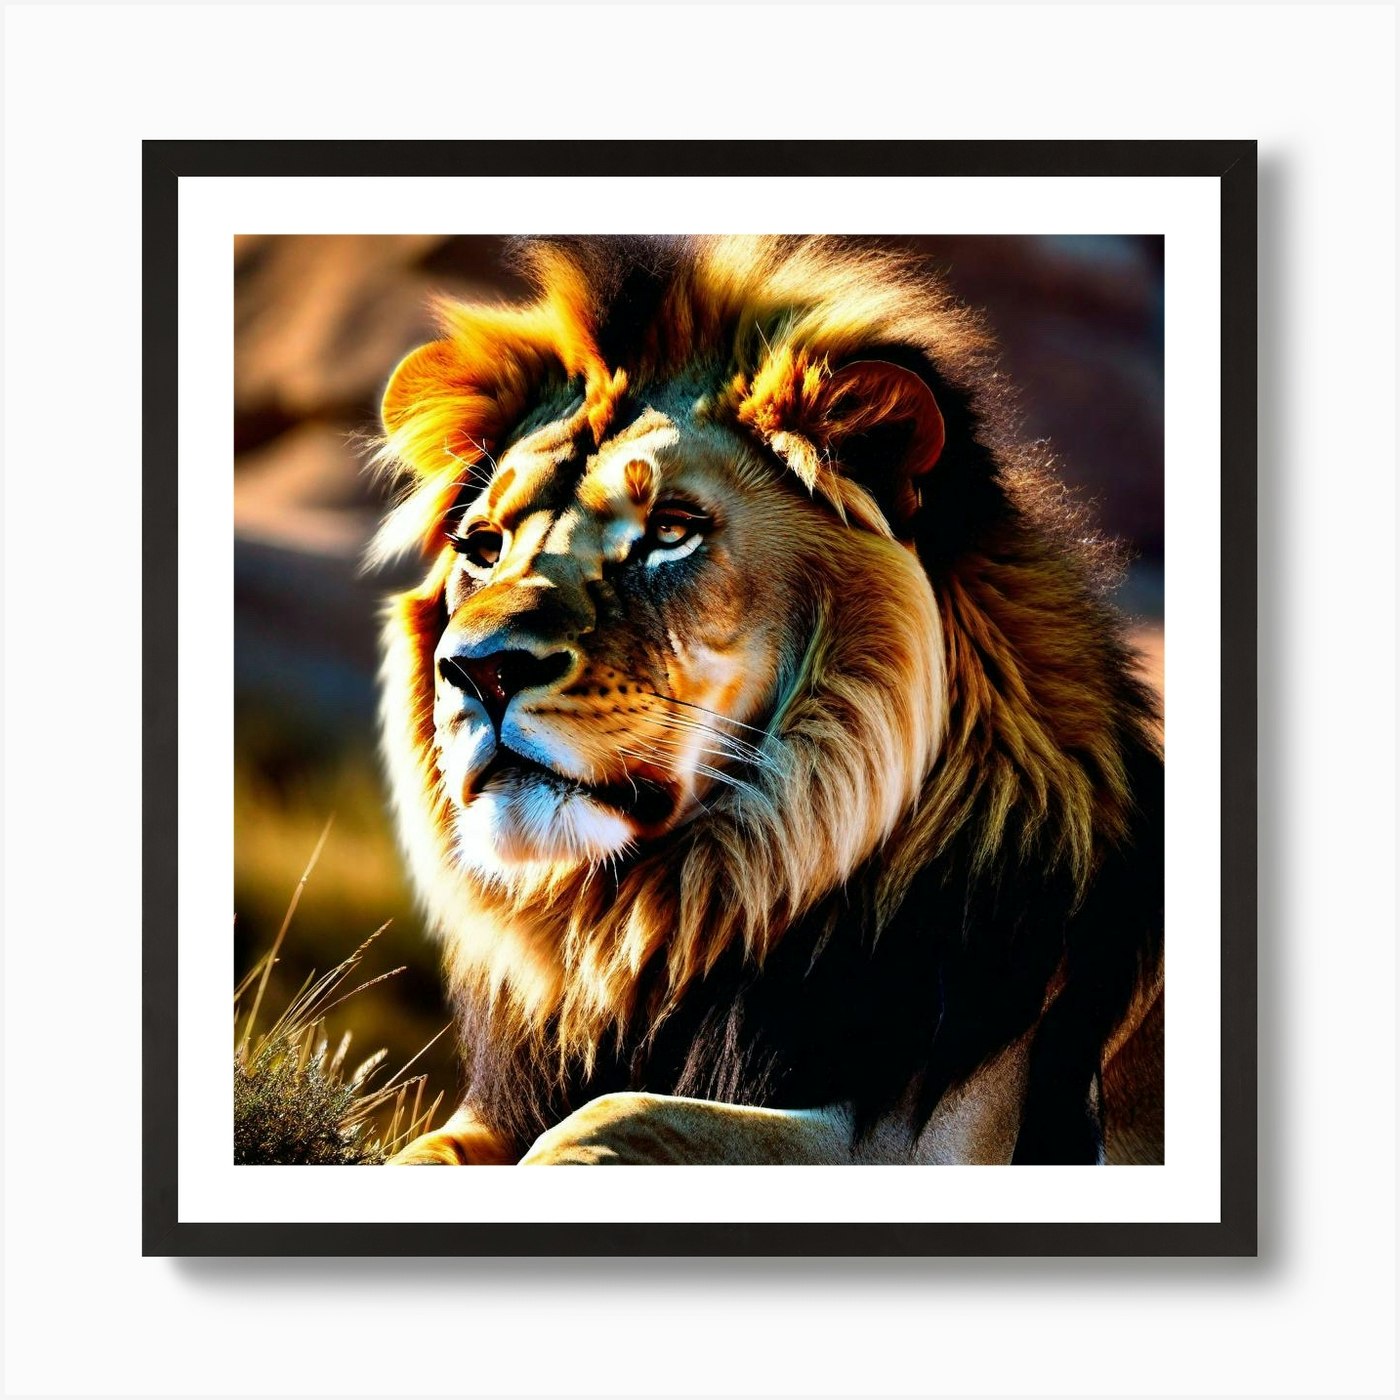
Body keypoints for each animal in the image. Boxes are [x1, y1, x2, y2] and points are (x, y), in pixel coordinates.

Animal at [372, 235, 1164, 1166]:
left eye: (671, 531)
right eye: (483, 548)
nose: (479, 669)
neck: (657, 929)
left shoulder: (921, 1142)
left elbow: (616, 1114)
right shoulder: (489, 1114)